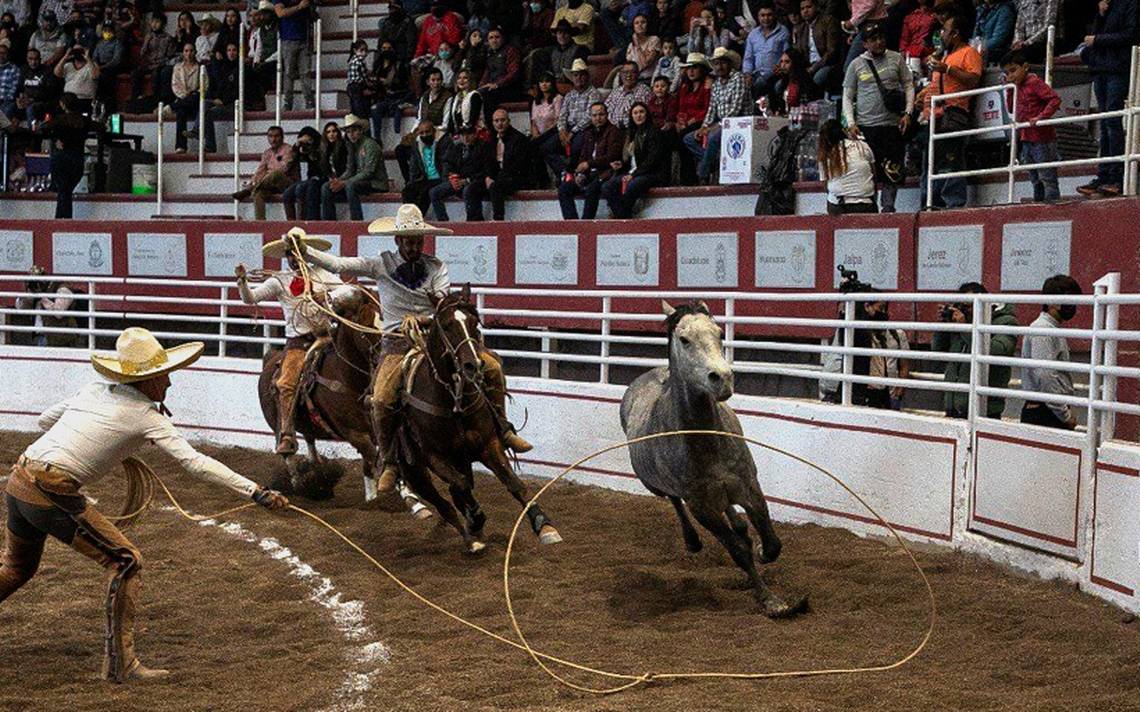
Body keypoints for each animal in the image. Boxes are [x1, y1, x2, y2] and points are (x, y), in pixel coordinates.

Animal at [258, 289, 387, 498]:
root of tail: (270, 358)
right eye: (365, 328)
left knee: (310, 439)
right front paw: (376, 497)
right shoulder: (353, 433)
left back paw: (316, 467)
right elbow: (371, 457)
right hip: (278, 422)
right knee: (287, 450)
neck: (348, 378)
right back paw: (300, 482)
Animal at [394, 285, 563, 553]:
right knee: (444, 500)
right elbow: (460, 486)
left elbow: (514, 483)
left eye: (474, 322)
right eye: (447, 325)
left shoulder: (488, 445)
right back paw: (469, 536)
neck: (453, 401)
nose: (473, 365)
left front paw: (544, 526)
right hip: (415, 470)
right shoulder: (435, 457)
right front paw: (475, 519)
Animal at [620, 300, 807, 615]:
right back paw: (693, 541)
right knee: (675, 501)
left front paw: (761, 551)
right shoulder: (702, 508)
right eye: (684, 339)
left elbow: (772, 543)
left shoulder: (749, 486)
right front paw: (770, 600)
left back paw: (741, 526)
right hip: (656, 486)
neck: (706, 440)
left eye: (719, 333)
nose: (722, 378)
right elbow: (738, 551)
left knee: (732, 514)